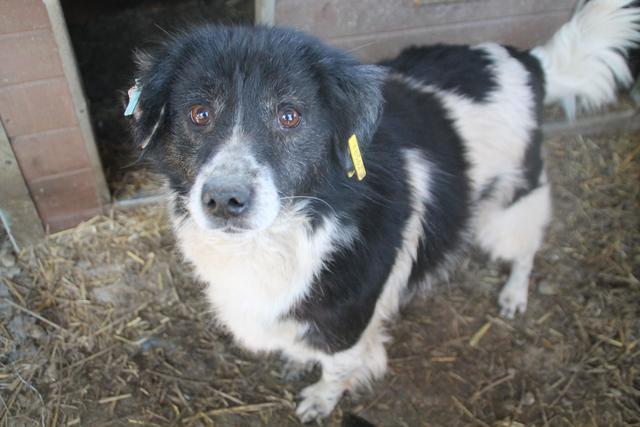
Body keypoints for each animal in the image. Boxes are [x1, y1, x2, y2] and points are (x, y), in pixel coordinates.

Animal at [129, 0, 640, 422]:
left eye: (290, 116)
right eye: (198, 113)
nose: (224, 200)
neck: (300, 228)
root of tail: (524, 60)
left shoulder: (349, 321)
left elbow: (338, 369)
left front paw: (321, 399)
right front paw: (296, 361)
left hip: (513, 203)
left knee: (526, 248)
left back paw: (515, 292)